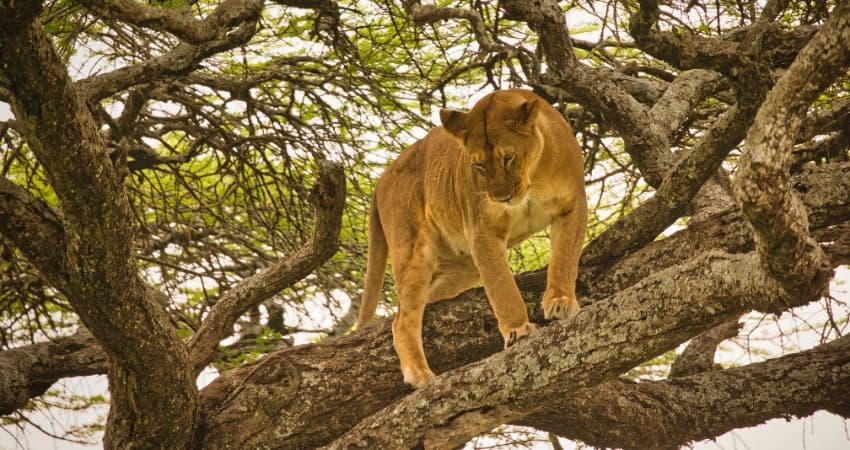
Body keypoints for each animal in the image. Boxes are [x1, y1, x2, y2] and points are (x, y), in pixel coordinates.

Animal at [356, 89, 587, 388]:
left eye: (508, 157)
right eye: (478, 165)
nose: (501, 198)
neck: (532, 178)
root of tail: (380, 180)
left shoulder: (572, 205)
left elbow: (565, 258)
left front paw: (560, 302)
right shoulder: (482, 230)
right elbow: (502, 287)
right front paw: (518, 331)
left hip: (462, 268)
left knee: (407, 307)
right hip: (414, 249)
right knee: (402, 320)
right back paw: (419, 374)